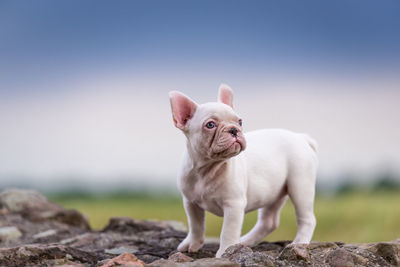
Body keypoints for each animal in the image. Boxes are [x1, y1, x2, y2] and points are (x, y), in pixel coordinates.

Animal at [167, 85, 318, 258]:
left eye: (239, 121)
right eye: (210, 125)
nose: (234, 130)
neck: (208, 168)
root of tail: (301, 137)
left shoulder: (233, 205)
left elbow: (228, 231)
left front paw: (225, 251)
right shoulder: (190, 202)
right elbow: (195, 225)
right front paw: (193, 243)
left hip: (300, 185)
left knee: (307, 218)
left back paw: (299, 243)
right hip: (274, 192)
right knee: (269, 222)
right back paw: (244, 242)